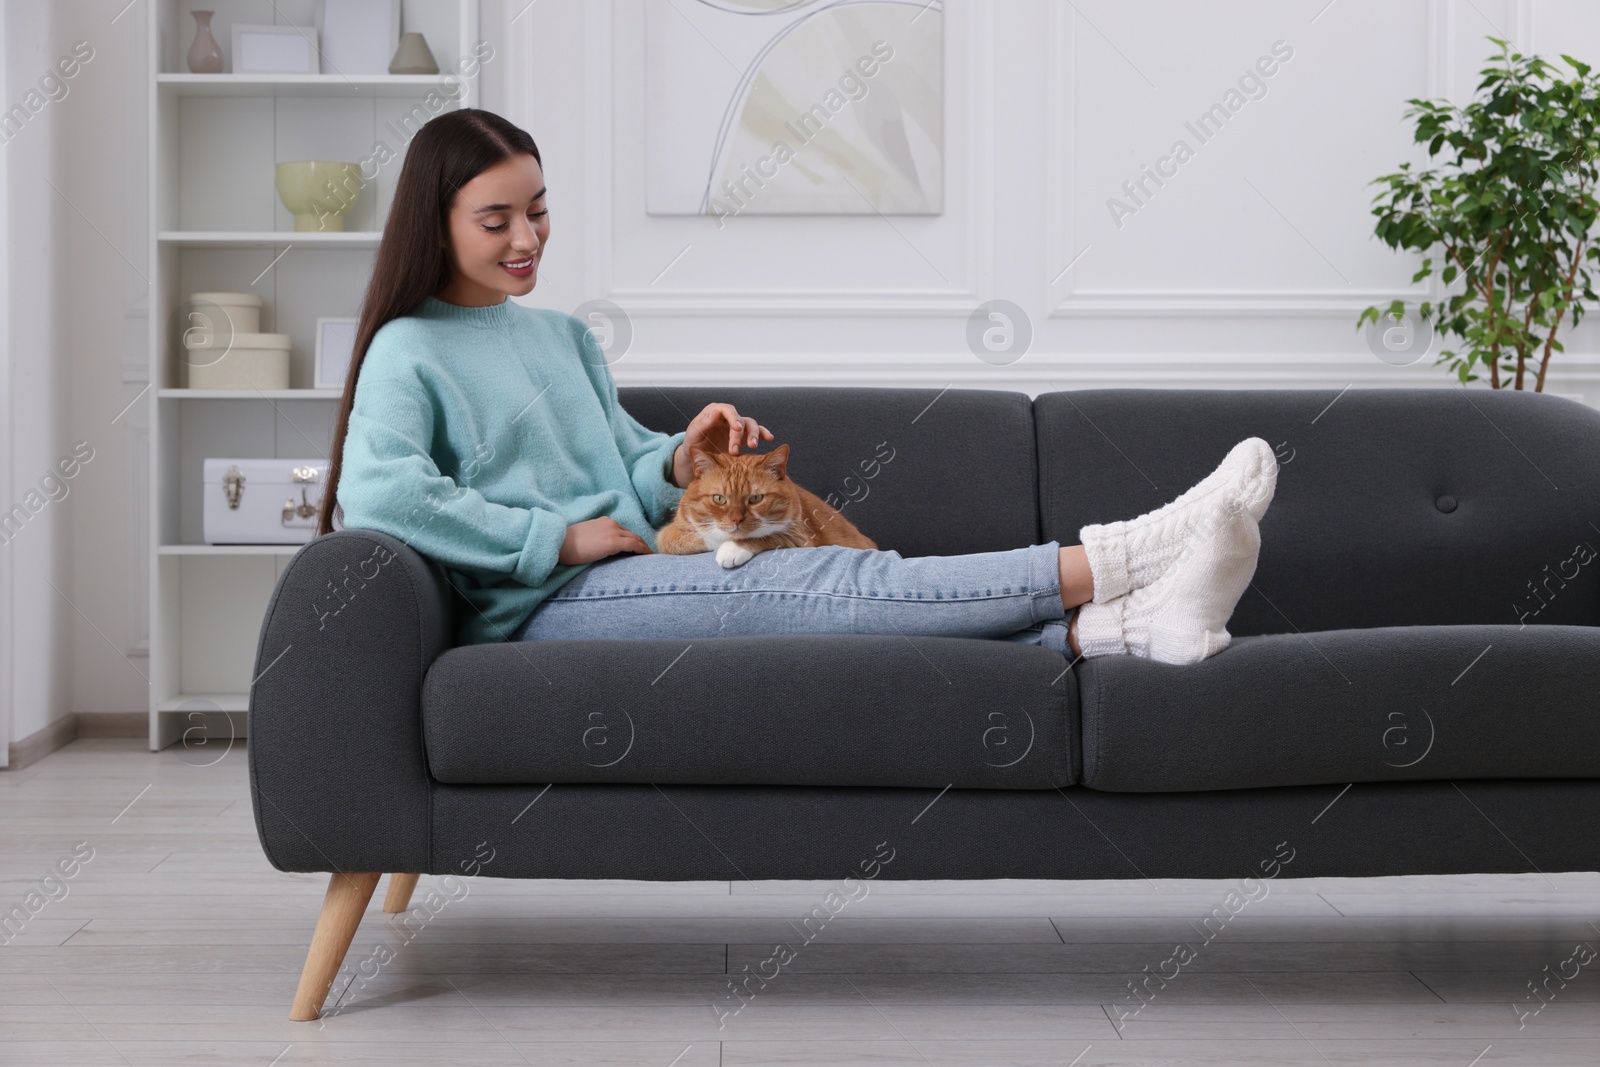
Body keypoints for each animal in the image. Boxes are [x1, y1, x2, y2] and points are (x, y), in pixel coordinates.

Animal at [652, 441, 876, 572]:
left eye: (756, 498)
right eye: (719, 499)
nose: (736, 520)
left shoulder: (800, 536)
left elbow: (765, 535)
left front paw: (732, 548)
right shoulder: (669, 532)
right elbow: (681, 539)